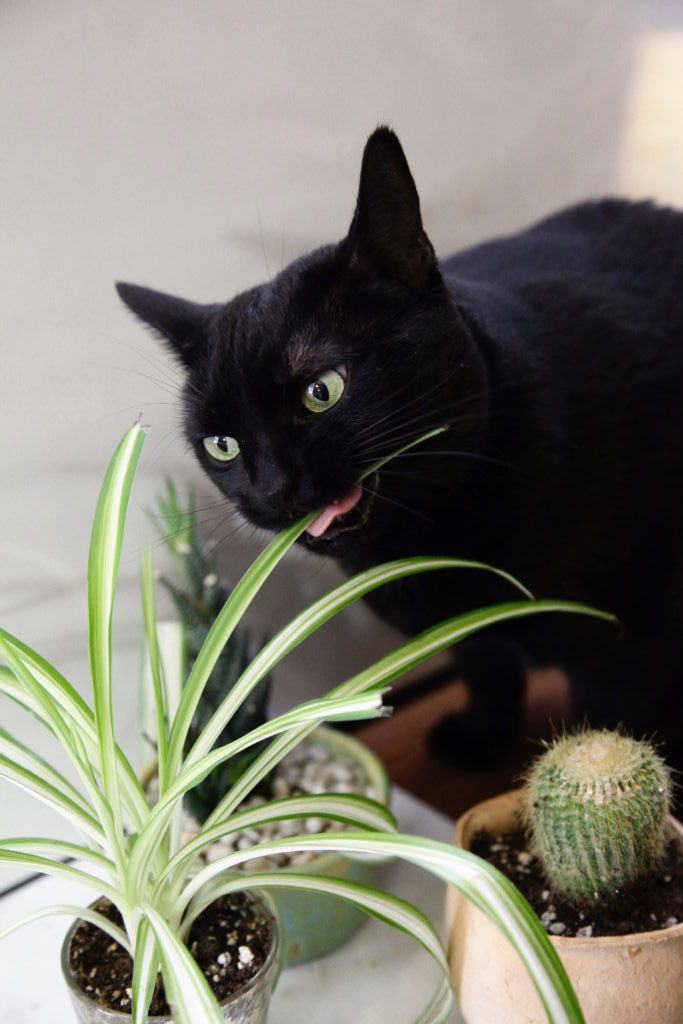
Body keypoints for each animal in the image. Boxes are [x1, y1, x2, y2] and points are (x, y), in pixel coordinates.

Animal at [117, 125, 683, 770]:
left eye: (322, 391)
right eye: (222, 445)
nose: (271, 489)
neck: (434, 537)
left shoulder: (628, 647)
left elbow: (613, 732)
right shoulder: (474, 636)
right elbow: (487, 670)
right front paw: (480, 739)